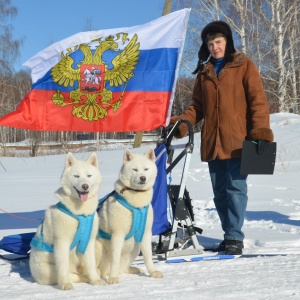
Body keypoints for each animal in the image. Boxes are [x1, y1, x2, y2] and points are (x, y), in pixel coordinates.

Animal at [29, 154, 106, 290]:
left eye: (89, 176)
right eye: (76, 176)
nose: (85, 186)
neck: (81, 214)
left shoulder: (89, 242)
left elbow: (91, 264)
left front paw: (95, 280)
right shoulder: (62, 242)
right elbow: (63, 267)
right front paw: (65, 284)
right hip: (49, 270)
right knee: (73, 275)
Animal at [95, 147, 163, 284]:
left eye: (146, 169)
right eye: (135, 169)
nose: (142, 178)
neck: (137, 205)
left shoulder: (146, 233)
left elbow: (148, 256)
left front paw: (153, 272)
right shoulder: (117, 235)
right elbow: (115, 260)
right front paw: (113, 278)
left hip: (135, 247)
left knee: (123, 267)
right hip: (97, 246)